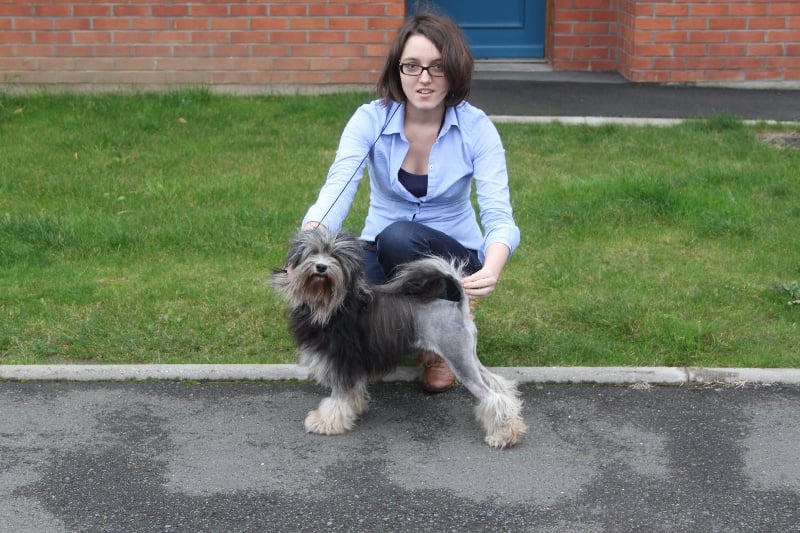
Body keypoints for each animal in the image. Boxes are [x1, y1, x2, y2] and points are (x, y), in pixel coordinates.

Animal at [271, 229, 527, 449]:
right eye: (312, 252)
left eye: (335, 255)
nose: (321, 267)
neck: (333, 302)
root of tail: (459, 307)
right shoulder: (354, 363)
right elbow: (353, 391)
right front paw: (354, 408)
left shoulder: (342, 361)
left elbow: (338, 396)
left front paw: (326, 422)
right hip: (467, 357)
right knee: (500, 385)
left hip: (458, 359)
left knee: (493, 397)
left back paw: (504, 435)